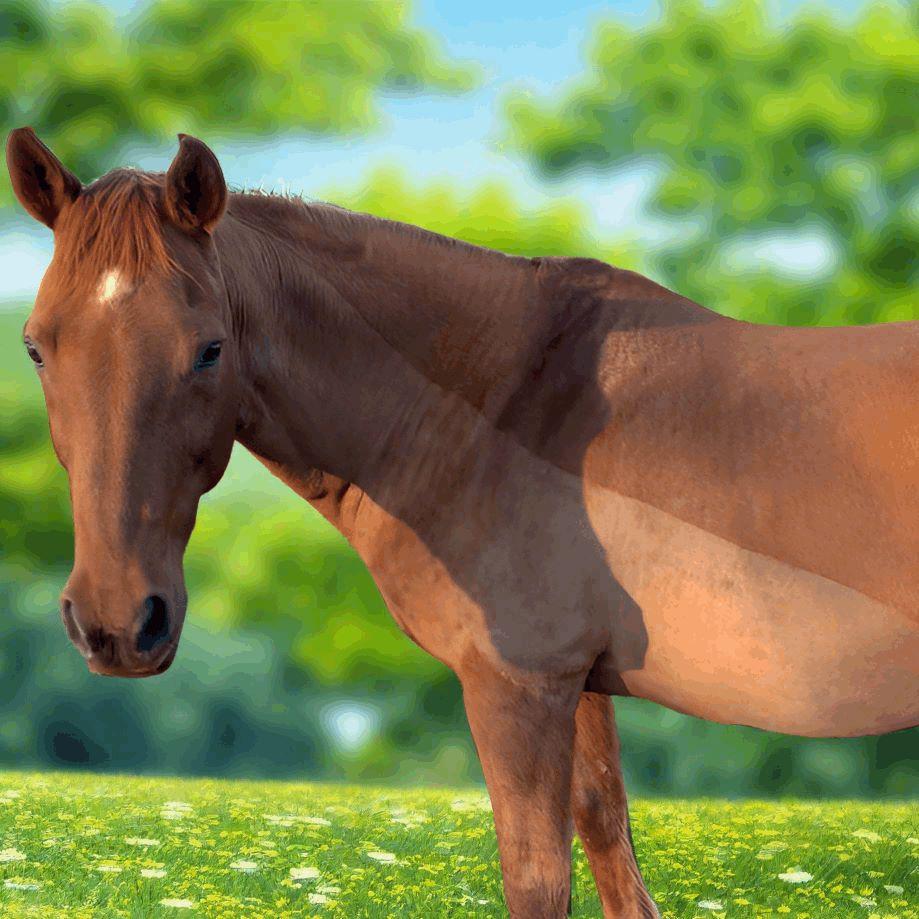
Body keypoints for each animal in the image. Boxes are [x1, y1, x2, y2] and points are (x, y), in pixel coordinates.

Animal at [6, 127, 918, 918]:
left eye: (208, 348)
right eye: (37, 347)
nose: (119, 623)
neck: (502, 407)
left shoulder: (518, 686)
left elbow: (537, 878)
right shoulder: (577, 684)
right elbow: (608, 835)